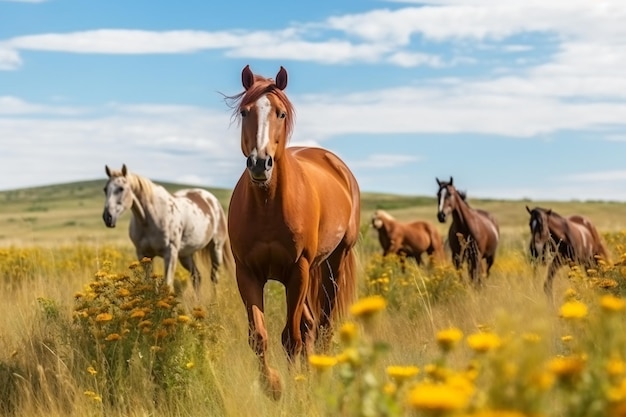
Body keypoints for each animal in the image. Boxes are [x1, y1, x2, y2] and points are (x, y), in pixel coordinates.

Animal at [102, 163, 232, 296]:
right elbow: (149, 285)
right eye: (105, 189)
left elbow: (168, 285)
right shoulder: (143, 255)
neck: (149, 219)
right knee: (196, 277)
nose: (108, 217)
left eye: (121, 188)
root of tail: (212, 200)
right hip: (185, 255)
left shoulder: (170, 253)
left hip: (216, 248)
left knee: (214, 277)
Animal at [224, 65, 360, 400]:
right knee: (311, 326)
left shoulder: (297, 271)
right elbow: (259, 336)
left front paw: (296, 388)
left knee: (322, 327)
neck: (268, 206)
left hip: (332, 264)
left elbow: (291, 338)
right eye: (245, 112)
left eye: (281, 113)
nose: (260, 163)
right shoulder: (247, 273)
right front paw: (272, 386)